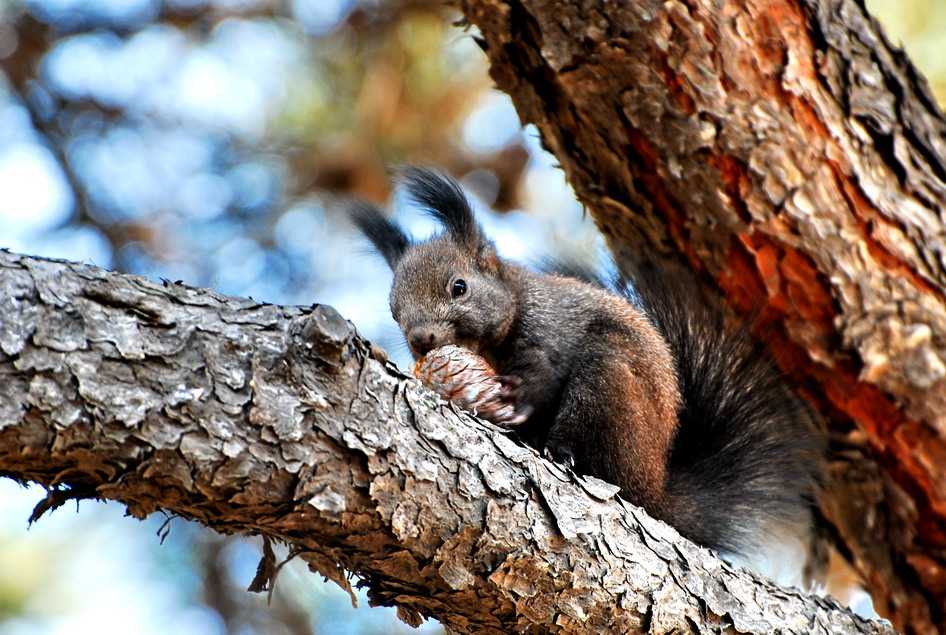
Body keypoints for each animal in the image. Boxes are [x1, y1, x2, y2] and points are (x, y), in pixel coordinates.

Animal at [350, 166, 824, 580]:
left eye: (459, 287)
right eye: (394, 310)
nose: (422, 339)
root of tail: (653, 484)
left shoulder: (548, 330)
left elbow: (542, 376)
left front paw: (515, 399)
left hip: (608, 383)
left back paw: (559, 451)